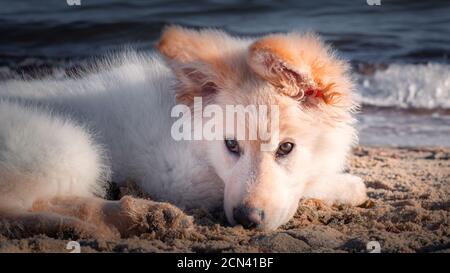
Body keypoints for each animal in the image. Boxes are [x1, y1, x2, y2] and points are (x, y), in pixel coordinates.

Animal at [0, 26, 366, 238]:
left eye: (286, 148)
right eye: (231, 144)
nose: (245, 219)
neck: (191, 130)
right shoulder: (177, 176)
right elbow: (310, 184)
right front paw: (349, 184)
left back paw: (138, 215)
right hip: (67, 144)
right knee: (13, 209)